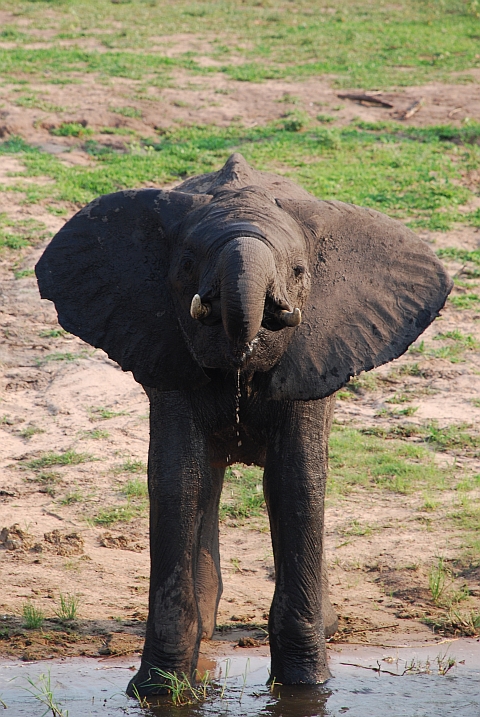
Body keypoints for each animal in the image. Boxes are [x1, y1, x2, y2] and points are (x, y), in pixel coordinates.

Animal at [35, 152, 452, 692]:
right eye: (185, 266)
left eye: (299, 271)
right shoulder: (167, 352)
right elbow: (177, 480)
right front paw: (159, 691)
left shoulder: (312, 357)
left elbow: (295, 481)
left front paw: (305, 687)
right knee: (206, 481)